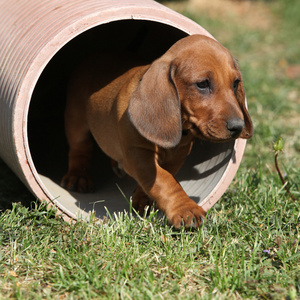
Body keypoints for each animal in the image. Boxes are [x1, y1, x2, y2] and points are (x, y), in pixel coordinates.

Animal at [61, 34, 253, 227]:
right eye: (202, 84)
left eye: (235, 83)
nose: (238, 127)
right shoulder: (138, 155)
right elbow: (165, 181)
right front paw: (186, 209)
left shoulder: (178, 156)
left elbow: (162, 179)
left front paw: (143, 200)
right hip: (76, 120)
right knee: (79, 149)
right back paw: (78, 177)